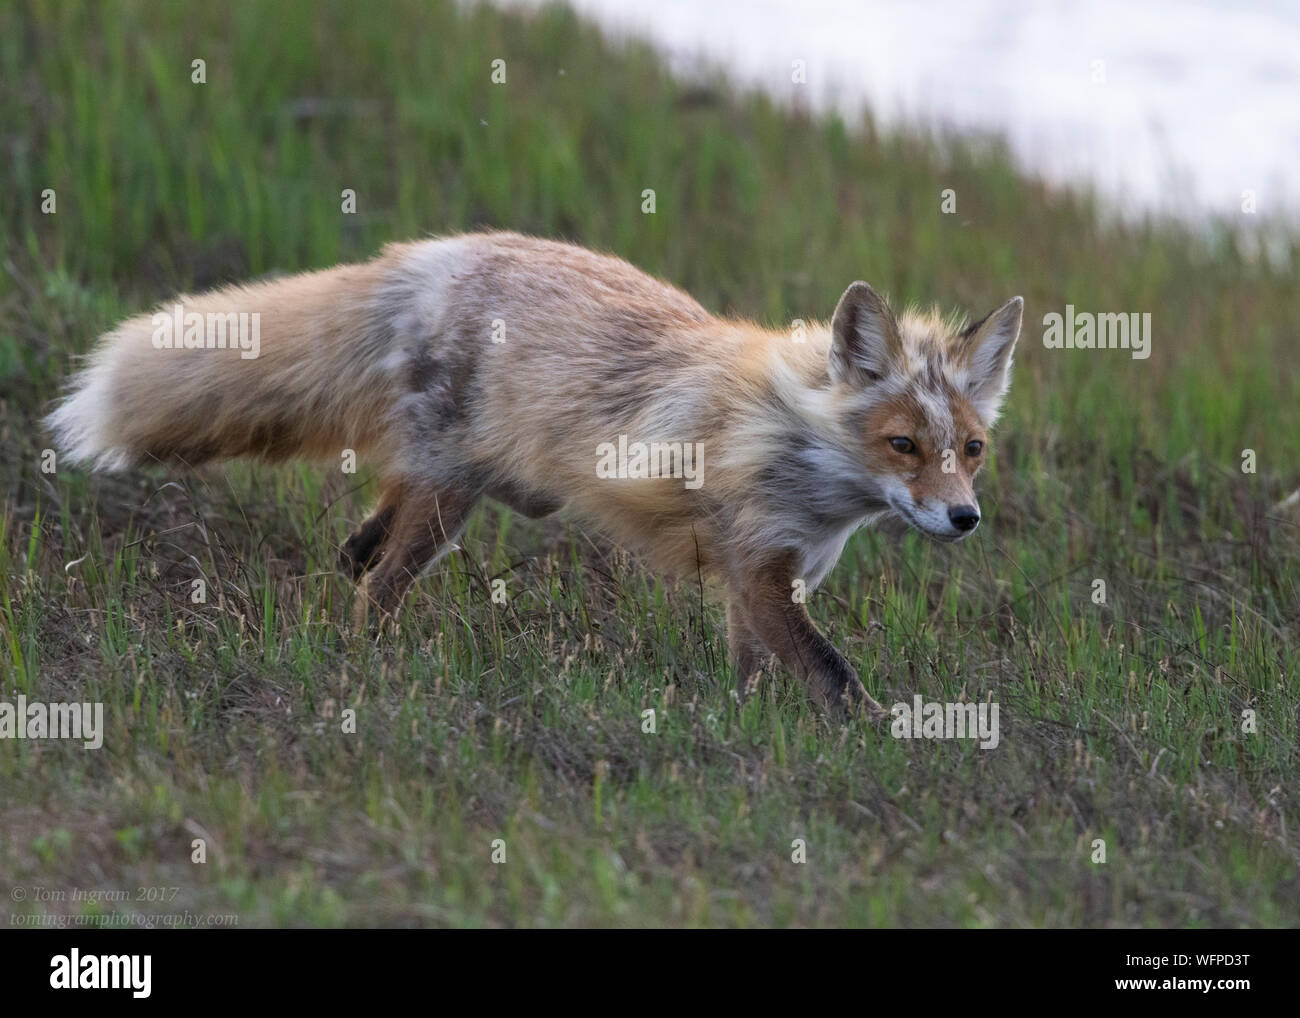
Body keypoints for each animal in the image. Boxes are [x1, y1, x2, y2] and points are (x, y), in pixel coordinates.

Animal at [45, 232, 1022, 716]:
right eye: (904, 445)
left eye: (970, 450)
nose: (965, 519)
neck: (797, 450)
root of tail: (432, 253)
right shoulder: (756, 567)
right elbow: (832, 673)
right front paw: (884, 738)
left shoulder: (765, 582)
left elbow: (757, 675)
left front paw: (744, 734)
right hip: (453, 500)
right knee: (374, 588)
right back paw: (362, 669)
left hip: (483, 487)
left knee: (361, 546)